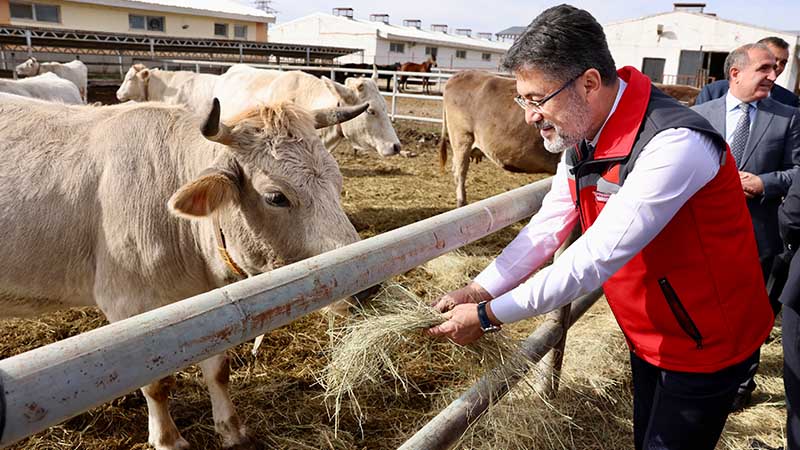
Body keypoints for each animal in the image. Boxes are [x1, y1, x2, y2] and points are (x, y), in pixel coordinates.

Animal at [0, 93, 370, 448]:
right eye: (276, 197)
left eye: (337, 182)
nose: (367, 285)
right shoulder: (127, 306)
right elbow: (156, 383)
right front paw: (167, 439)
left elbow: (218, 369)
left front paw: (231, 429)